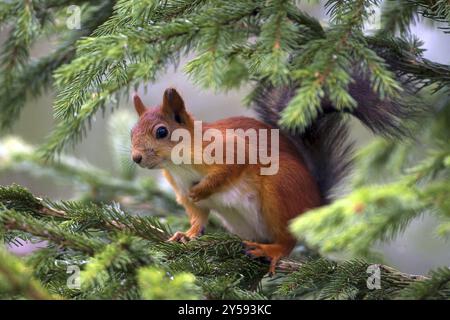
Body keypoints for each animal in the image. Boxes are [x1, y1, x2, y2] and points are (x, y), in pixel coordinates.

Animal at [131, 84, 414, 274]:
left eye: (161, 132)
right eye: (132, 131)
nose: (135, 158)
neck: (178, 164)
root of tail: (313, 205)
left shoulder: (231, 151)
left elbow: (229, 170)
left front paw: (202, 190)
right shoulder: (179, 187)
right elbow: (198, 216)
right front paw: (187, 234)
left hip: (279, 190)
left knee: (288, 240)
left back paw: (272, 251)